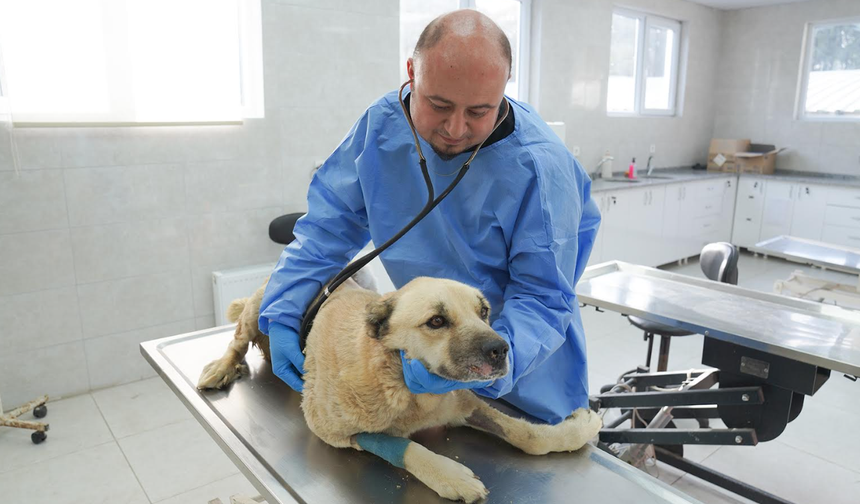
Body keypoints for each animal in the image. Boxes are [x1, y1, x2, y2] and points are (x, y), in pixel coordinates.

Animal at [198, 278, 600, 502]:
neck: (407, 388)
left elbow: (527, 435)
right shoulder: (335, 430)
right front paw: (450, 475)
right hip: (257, 311)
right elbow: (404, 447)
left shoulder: (464, 402)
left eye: (484, 312)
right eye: (436, 321)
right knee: (236, 340)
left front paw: (575, 430)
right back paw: (222, 367)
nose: (502, 350)